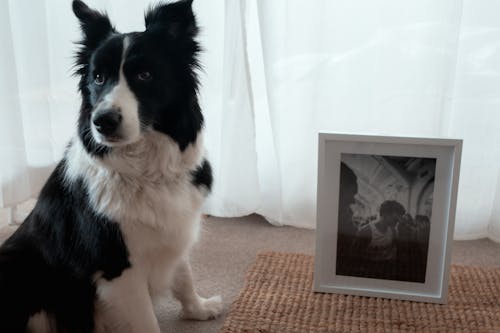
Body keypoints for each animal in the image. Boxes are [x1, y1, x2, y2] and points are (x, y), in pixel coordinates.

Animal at [0, 1, 223, 330]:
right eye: (98, 78)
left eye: (145, 75)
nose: (102, 121)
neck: (146, 171)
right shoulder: (118, 267)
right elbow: (147, 323)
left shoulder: (174, 228)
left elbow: (184, 276)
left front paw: (199, 309)